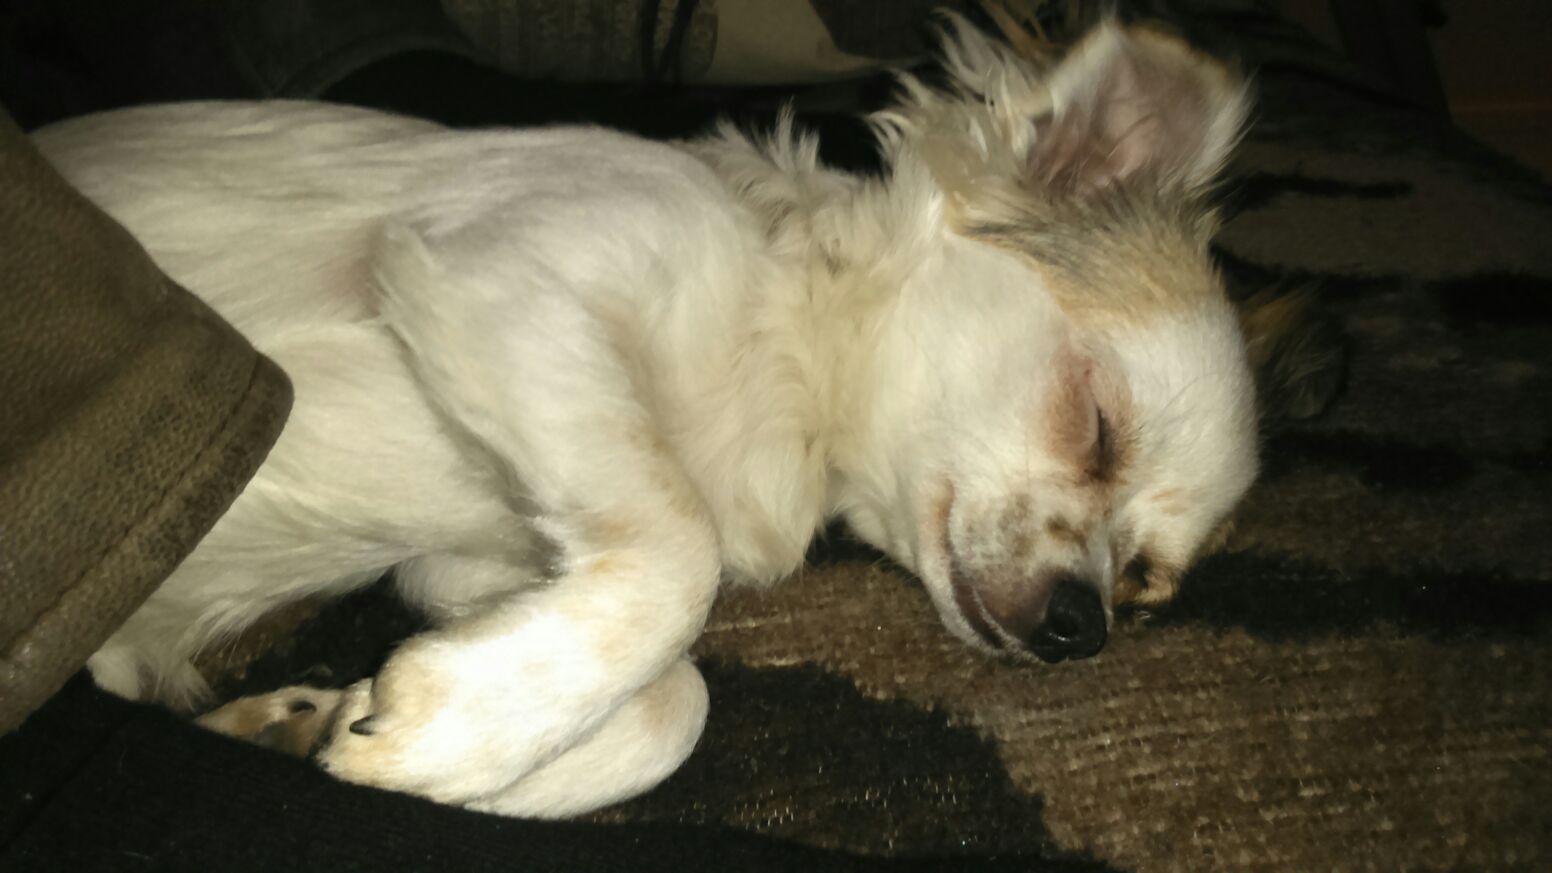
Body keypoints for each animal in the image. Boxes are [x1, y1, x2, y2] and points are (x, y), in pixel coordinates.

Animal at [35, 18, 1326, 817]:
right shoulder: (499, 278)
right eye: (1096, 426)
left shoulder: (472, 562)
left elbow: (674, 699)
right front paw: (455, 730)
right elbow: (680, 557)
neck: (778, 370)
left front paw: (385, 733)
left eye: (1145, 586)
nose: (1079, 627)